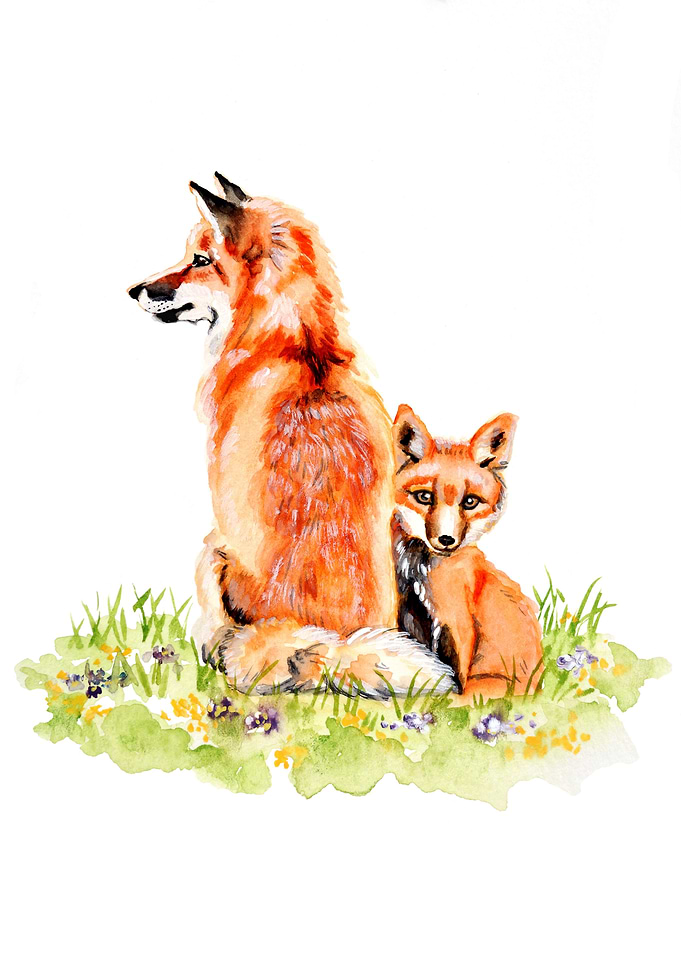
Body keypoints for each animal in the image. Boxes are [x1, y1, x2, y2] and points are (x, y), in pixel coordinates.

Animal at [392, 405, 544, 698]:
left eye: (470, 501)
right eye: (424, 497)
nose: (446, 539)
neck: (420, 573)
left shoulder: (457, 625)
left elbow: (457, 680)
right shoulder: (412, 618)